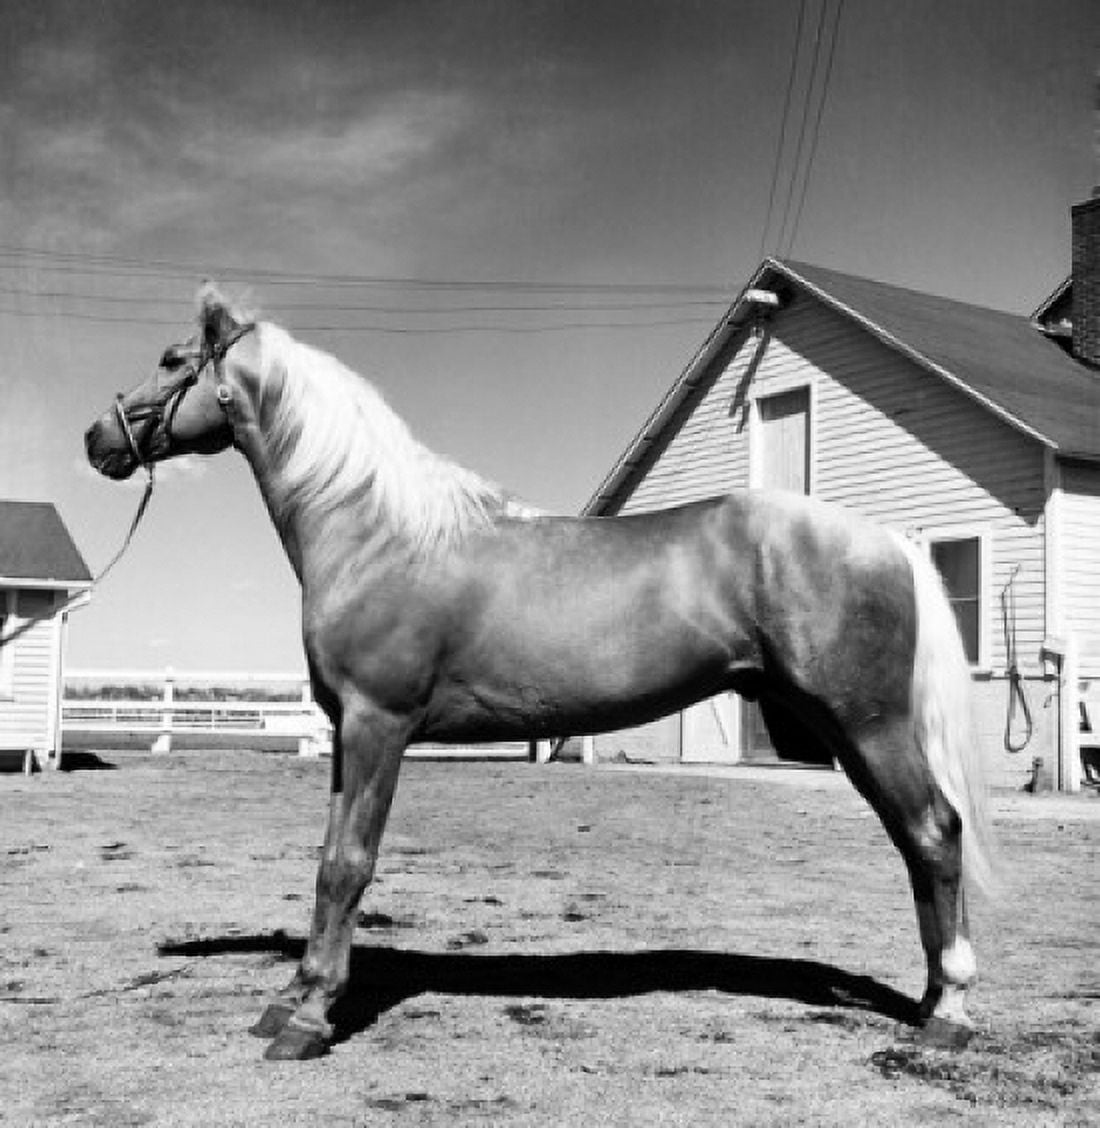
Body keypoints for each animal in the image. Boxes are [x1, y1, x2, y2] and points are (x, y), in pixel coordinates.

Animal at [85, 285, 995, 1062]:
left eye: (172, 358)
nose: (98, 438)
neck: (375, 530)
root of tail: (884, 539)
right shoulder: (345, 730)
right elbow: (326, 857)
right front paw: (295, 995)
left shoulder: (380, 723)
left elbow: (349, 863)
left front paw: (309, 1020)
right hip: (849, 729)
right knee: (918, 840)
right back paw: (929, 998)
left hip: (867, 723)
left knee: (934, 831)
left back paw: (948, 1012)